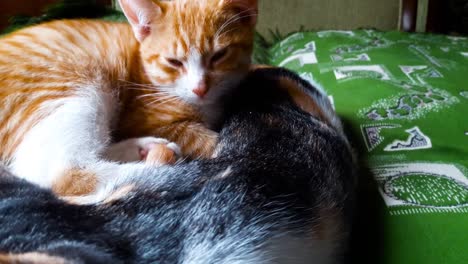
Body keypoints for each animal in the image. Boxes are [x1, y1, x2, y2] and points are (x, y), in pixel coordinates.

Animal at [0, 0, 258, 198]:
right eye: (173, 62)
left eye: (220, 55)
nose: (200, 88)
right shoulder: (141, 117)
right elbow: (208, 142)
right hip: (75, 88)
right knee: (60, 174)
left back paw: (146, 148)